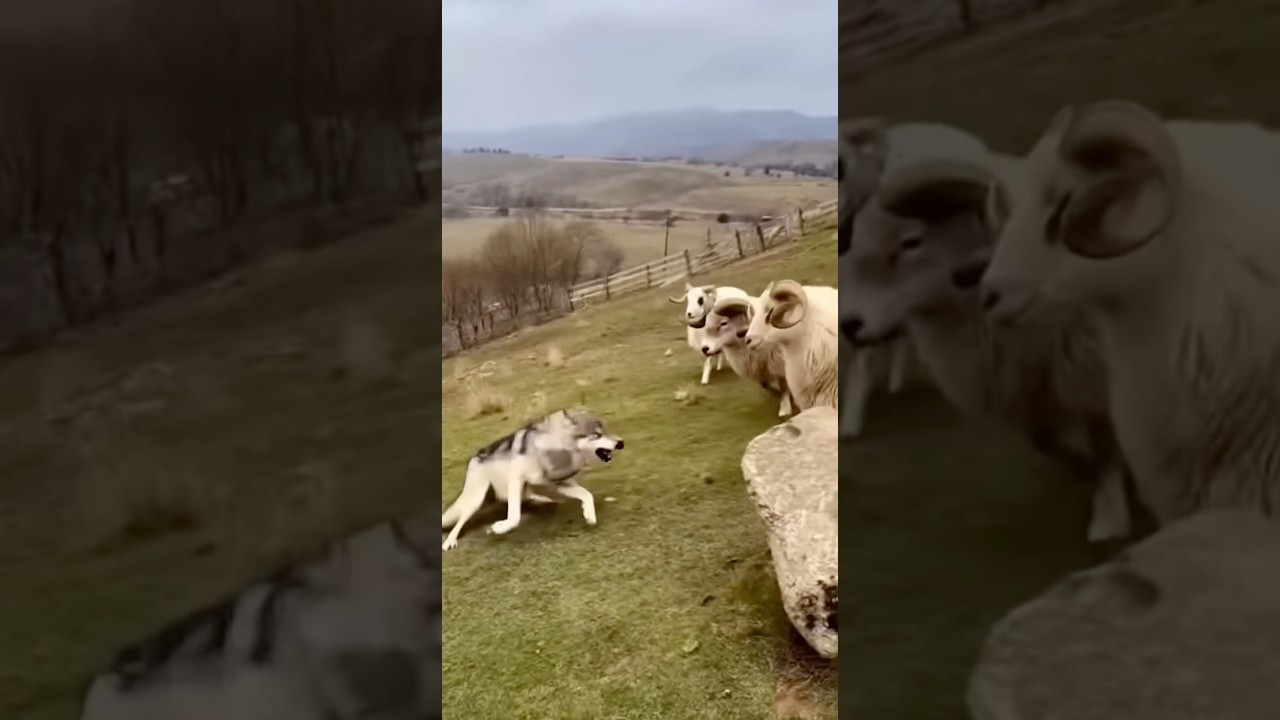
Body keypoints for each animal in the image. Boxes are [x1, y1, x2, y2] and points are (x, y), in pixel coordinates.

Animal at [441, 408, 625, 551]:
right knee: (460, 521)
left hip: (532, 490)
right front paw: (499, 528)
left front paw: (589, 515)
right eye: (597, 434)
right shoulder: (517, 477)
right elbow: (514, 517)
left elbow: (587, 494)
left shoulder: (556, 484)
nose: (621, 443)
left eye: (606, 430)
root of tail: (476, 455)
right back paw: (450, 541)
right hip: (477, 500)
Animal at [840, 152, 1147, 544]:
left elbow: (1107, 449)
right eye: (857, 240)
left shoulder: (1098, 376)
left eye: (912, 241)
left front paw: (1109, 522)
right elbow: (1049, 441)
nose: (848, 325)